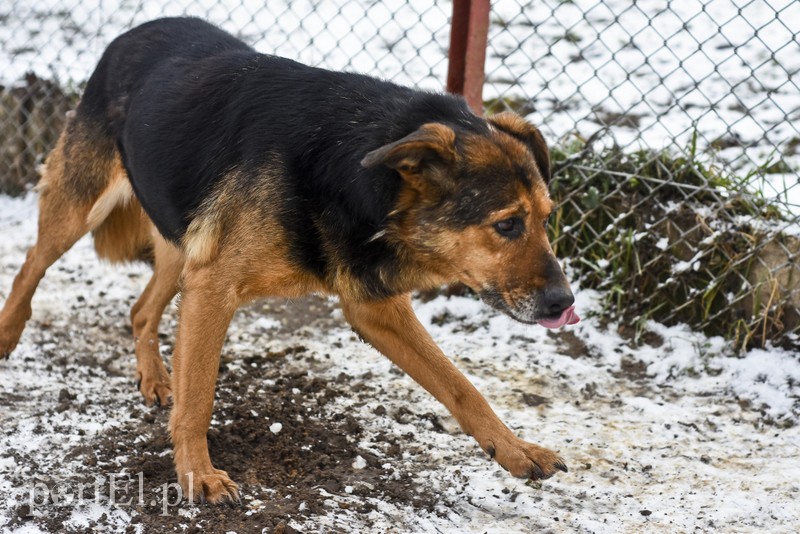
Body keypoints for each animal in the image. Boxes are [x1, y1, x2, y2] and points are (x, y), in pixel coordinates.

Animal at [0, 15, 580, 502]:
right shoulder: (214, 287)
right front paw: (197, 475)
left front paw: (514, 449)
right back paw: (8, 335)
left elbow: (460, 385)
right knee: (31, 264)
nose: (565, 304)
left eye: (546, 218)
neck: (352, 166)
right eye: (507, 224)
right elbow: (200, 396)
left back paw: (156, 378)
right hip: (81, 209)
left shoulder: (373, 306)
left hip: (179, 246)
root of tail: (134, 31)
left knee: (141, 310)